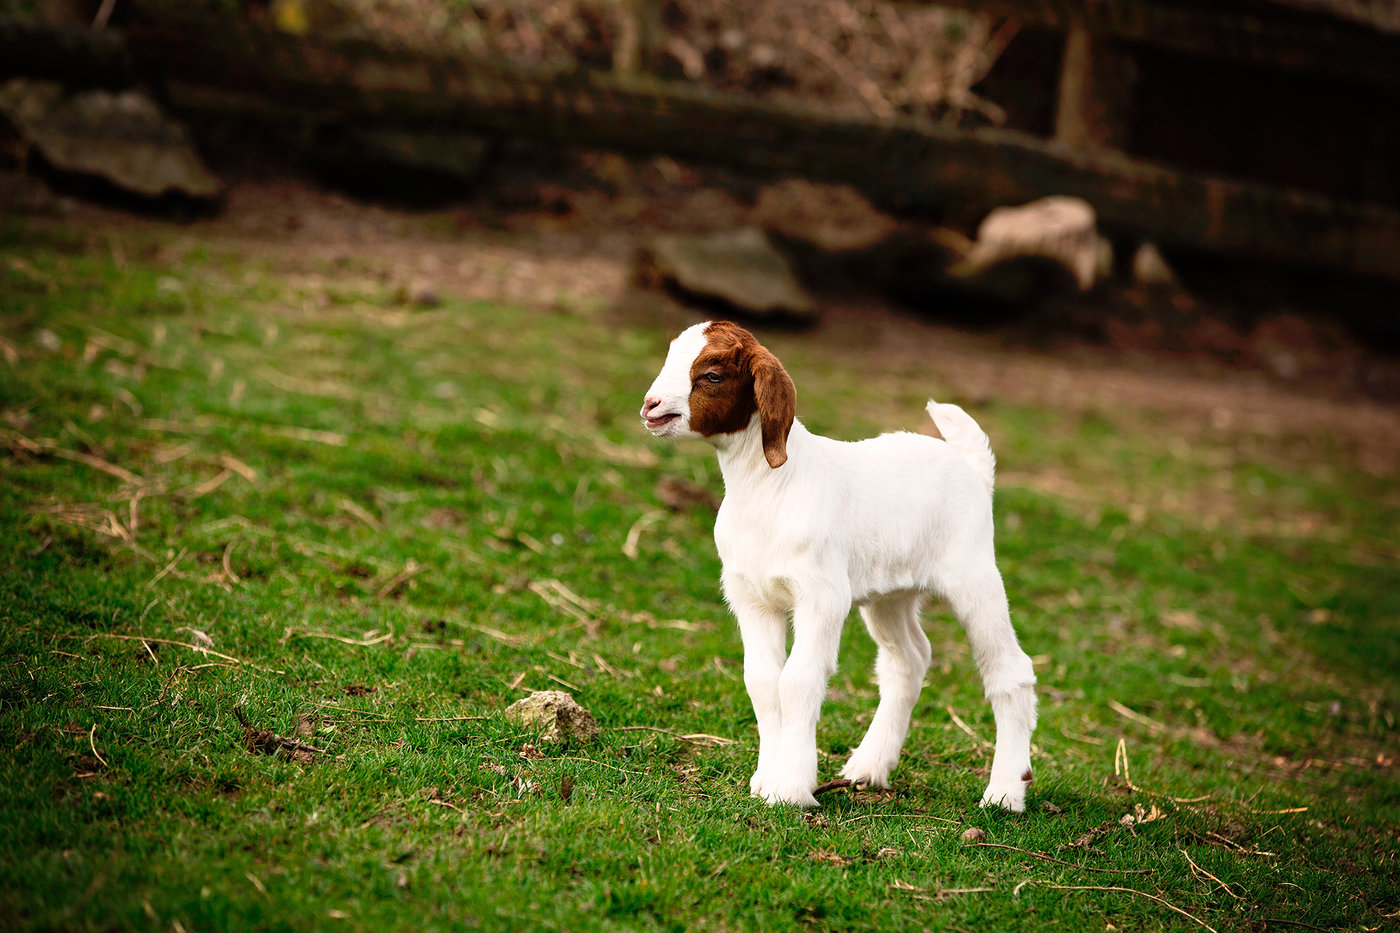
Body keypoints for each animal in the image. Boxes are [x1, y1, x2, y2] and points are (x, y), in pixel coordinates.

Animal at [640, 320, 1037, 810]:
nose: (651, 406)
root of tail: (972, 466)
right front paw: (765, 779)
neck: (771, 485)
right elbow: (763, 682)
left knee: (1009, 671)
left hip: (973, 572)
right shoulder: (751, 596)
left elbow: (798, 680)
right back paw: (869, 768)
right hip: (891, 593)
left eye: (713, 374)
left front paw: (790, 788)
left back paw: (1004, 793)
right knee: (909, 660)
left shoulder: (821, 595)